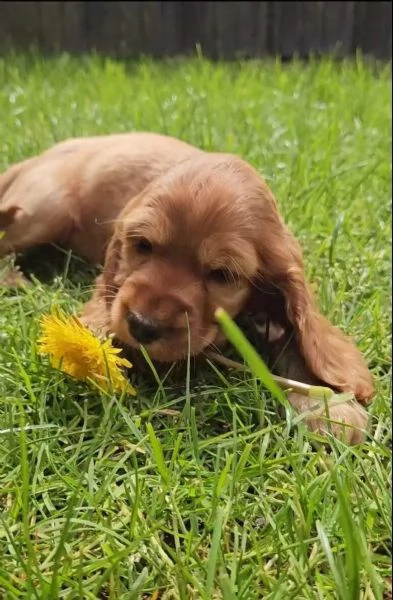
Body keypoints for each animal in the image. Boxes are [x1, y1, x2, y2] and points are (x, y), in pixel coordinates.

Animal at [0, 134, 374, 442]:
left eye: (222, 274)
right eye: (143, 245)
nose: (142, 326)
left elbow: (300, 339)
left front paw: (327, 405)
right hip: (49, 208)